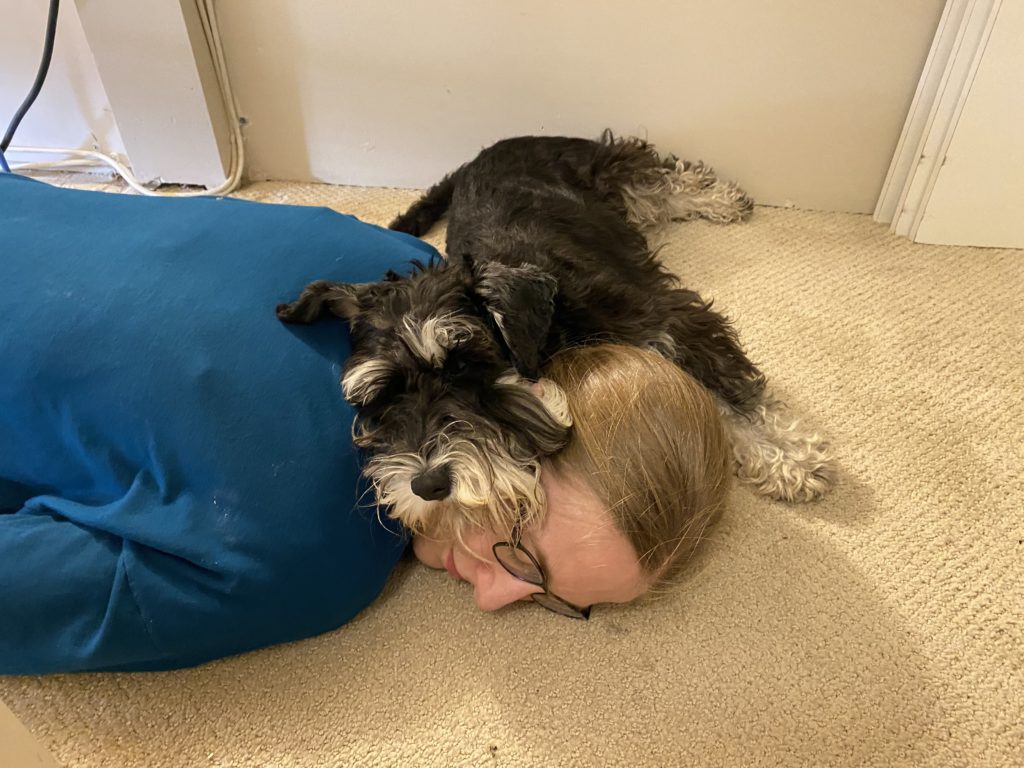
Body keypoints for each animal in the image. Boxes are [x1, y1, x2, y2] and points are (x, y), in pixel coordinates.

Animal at [276, 131, 835, 540]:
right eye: (384, 395)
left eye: (464, 365)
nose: (428, 484)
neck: (550, 324)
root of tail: (486, 151)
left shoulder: (669, 321)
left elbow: (733, 393)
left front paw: (787, 457)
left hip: (607, 170)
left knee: (659, 175)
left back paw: (721, 197)